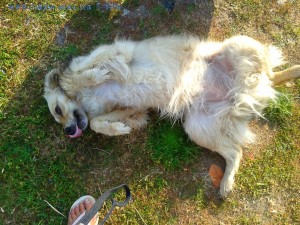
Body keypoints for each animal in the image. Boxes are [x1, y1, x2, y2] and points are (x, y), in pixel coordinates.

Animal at [44, 35, 300, 197]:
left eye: (58, 110)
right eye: (58, 117)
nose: (68, 131)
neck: (84, 99)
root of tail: (240, 93)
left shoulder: (116, 54)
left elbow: (80, 76)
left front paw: (93, 76)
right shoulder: (134, 109)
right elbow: (98, 121)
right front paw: (117, 129)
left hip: (237, 44)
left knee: (270, 68)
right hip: (197, 127)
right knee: (235, 152)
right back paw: (226, 183)